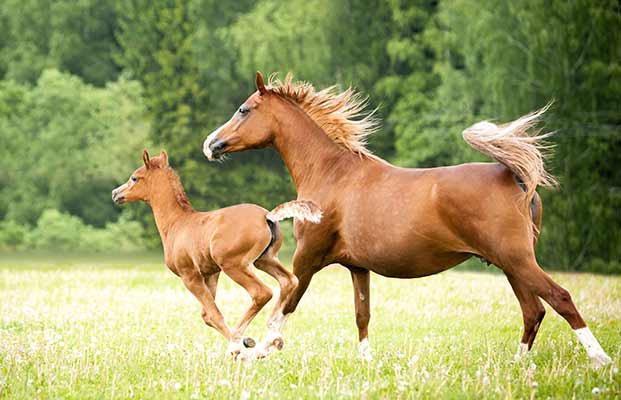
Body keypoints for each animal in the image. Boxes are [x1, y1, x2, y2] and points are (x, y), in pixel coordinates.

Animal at [112, 151, 322, 360]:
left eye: (134, 178)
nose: (116, 193)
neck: (177, 224)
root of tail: (267, 216)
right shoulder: (211, 273)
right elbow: (207, 315)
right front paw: (248, 342)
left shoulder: (190, 275)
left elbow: (213, 314)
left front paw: (239, 347)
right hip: (264, 260)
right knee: (289, 281)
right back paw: (273, 337)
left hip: (234, 265)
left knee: (262, 292)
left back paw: (245, 340)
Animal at [202, 73, 612, 368]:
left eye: (244, 109)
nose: (211, 144)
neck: (332, 174)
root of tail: (516, 177)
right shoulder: (357, 267)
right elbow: (362, 314)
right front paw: (366, 362)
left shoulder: (308, 258)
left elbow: (285, 305)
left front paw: (256, 349)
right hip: (511, 265)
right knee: (533, 311)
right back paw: (517, 365)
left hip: (517, 260)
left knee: (559, 299)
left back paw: (600, 360)